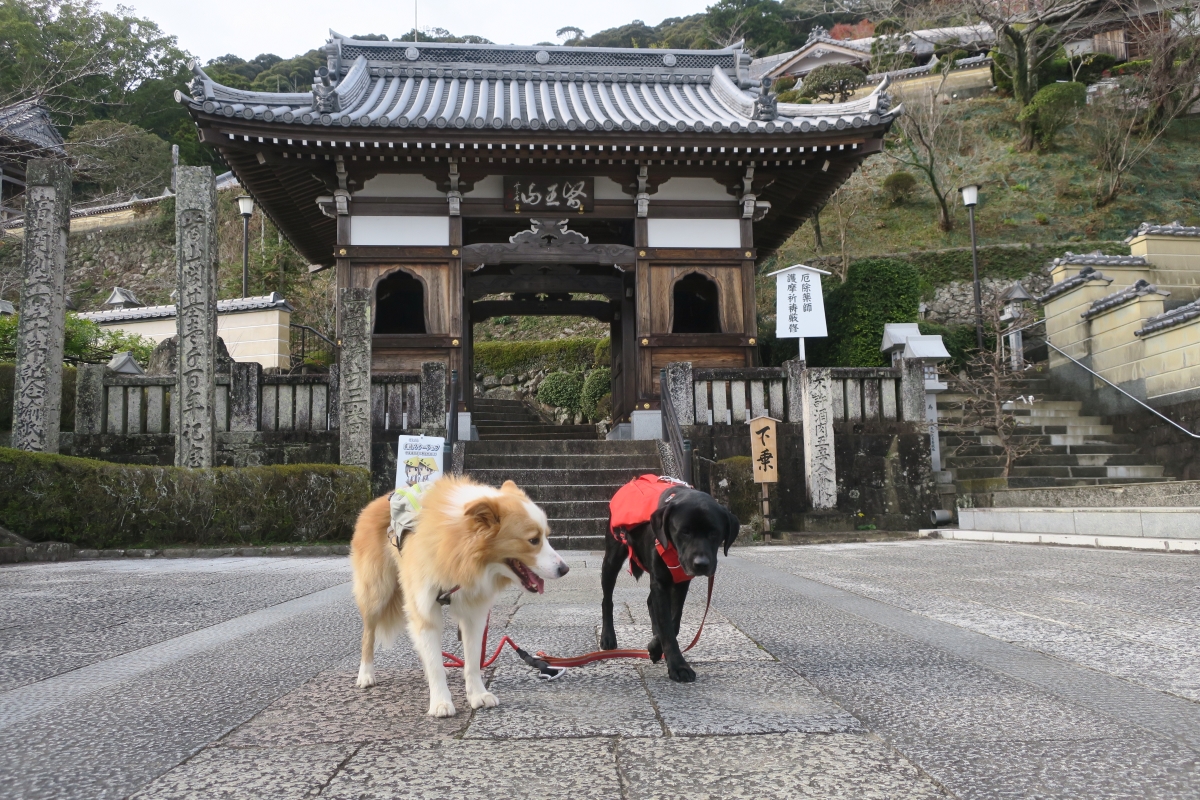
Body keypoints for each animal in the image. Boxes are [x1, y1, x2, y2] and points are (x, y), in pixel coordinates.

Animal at [350, 474, 568, 719]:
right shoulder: (425, 606)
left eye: (547, 537)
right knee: (368, 634)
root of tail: (376, 501)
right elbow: (435, 662)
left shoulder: (474, 612)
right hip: (376, 592)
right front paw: (440, 701)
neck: (462, 548)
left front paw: (478, 695)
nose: (565, 569)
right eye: (533, 540)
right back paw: (366, 674)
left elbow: (472, 661)